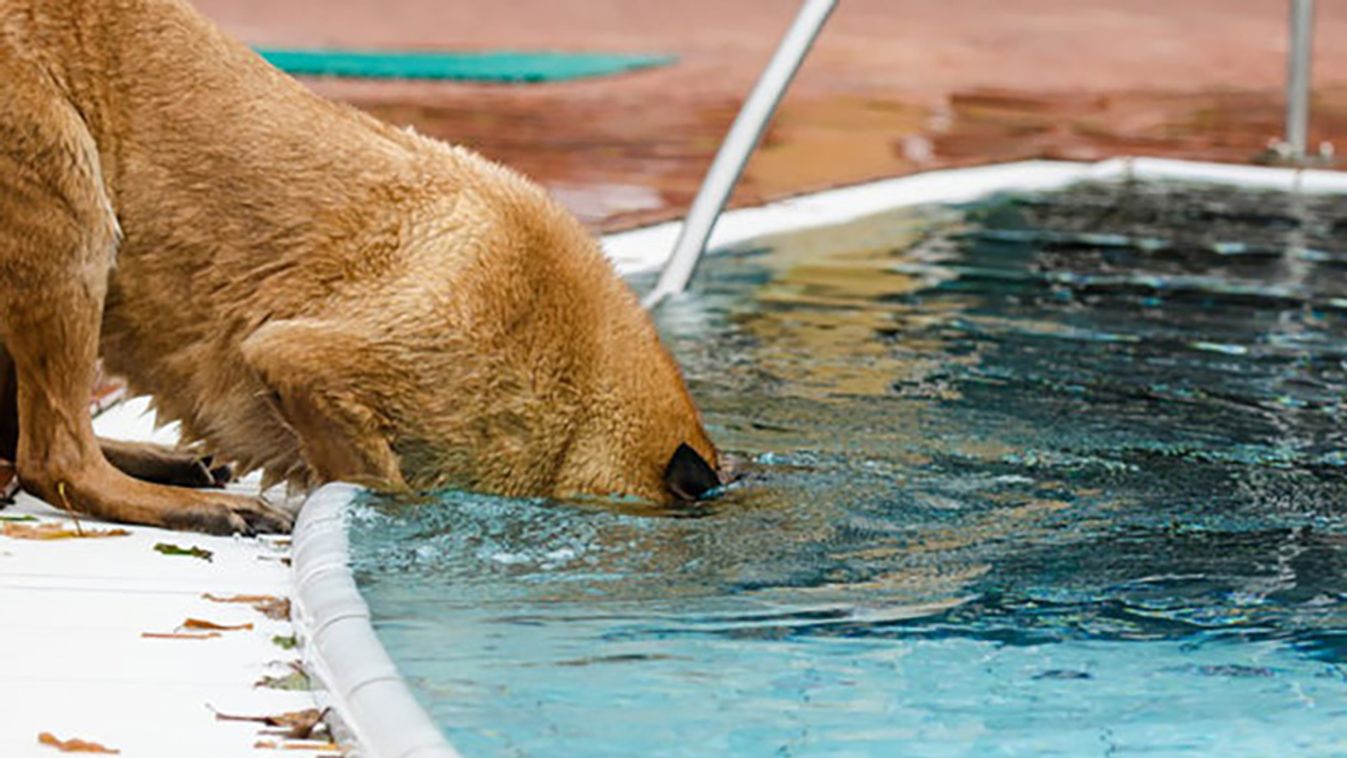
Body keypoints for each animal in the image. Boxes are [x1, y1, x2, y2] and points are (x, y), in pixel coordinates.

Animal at [0, 0, 721, 535]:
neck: (587, 395)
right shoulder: (307, 359)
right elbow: (381, 480)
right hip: (71, 212)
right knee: (53, 455)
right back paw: (199, 506)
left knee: (20, 439)